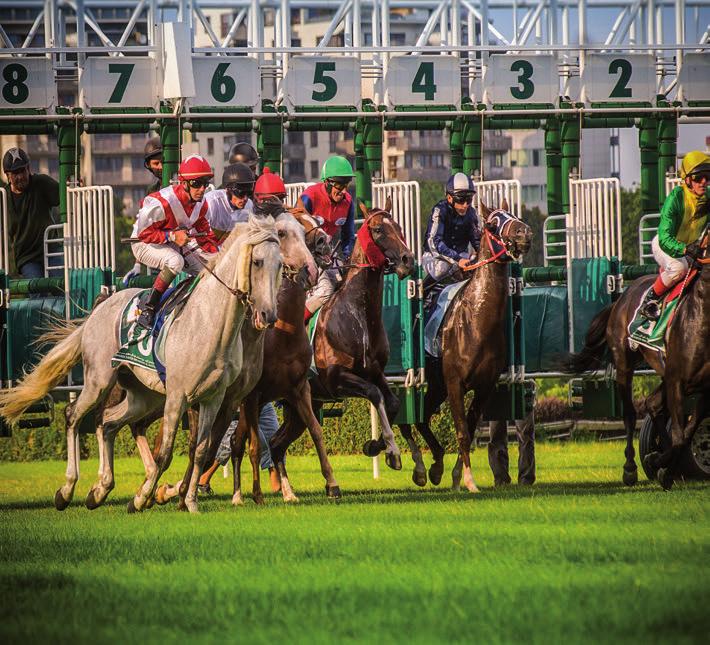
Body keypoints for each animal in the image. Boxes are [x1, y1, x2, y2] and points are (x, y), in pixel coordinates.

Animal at [270, 196, 420, 488]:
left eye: (398, 226)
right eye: (378, 230)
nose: (408, 260)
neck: (358, 314)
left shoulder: (375, 372)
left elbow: (393, 402)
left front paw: (377, 446)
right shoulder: (337, 379)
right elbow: (375, 395)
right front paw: (390, 451)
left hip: (299, 406)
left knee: (275, 443)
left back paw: (286, 488)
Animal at [564, 226, 708, 488]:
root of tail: (622, 296)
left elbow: (686, 432)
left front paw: (662, 463)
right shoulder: (678, 381)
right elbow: (681, 434)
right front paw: (663, 466)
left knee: (653, 404)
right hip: (624, 363)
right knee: (631, 414)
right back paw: (631, 468)